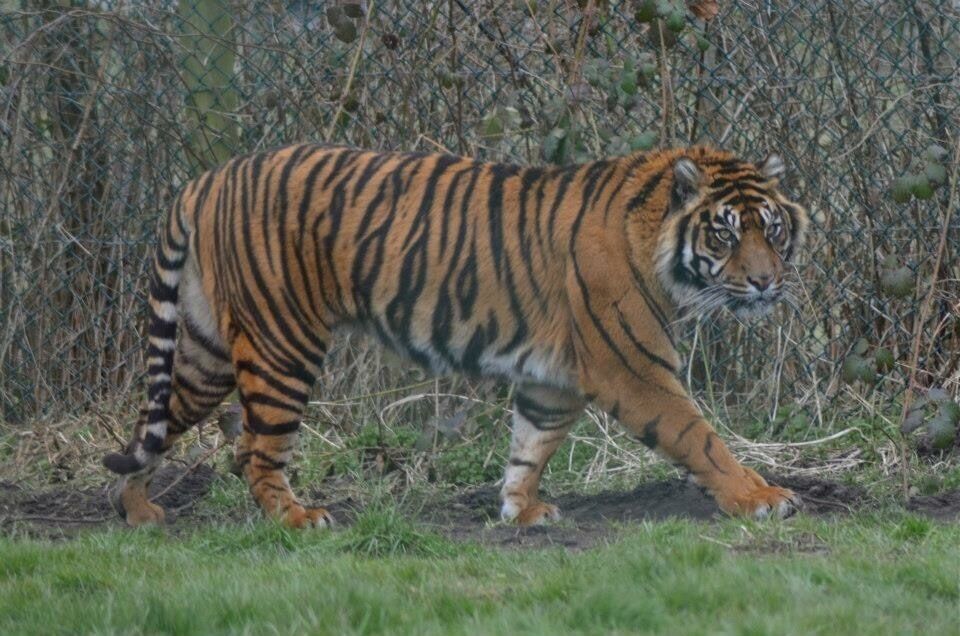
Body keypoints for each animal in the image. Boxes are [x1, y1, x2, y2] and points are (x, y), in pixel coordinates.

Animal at [104, 144, 808, 528]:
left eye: (771, 229)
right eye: (724, 233)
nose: (767, 282)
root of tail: (208, 178)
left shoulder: (553, 379)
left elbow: (532, 444)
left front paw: (521, 509)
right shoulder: (632, 368)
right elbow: (699, 437)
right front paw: (760, 497)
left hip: (206, 349)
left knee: (153, 423)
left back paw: (136, 511)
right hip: (282, 343)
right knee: (254, 449)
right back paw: (298, 518)